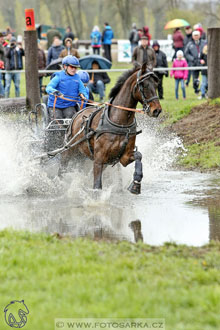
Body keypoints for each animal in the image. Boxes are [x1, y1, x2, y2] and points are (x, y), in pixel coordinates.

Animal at [58, 62, 162, 193]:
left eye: (156, 84)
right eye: (144, 85)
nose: (157, 110)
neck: (119, 122)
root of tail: (77, 115)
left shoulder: (124, 157)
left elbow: (139, 155)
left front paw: (136, 184)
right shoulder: (98, 159)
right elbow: (97, 186)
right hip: (69, 152)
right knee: (62, 169)